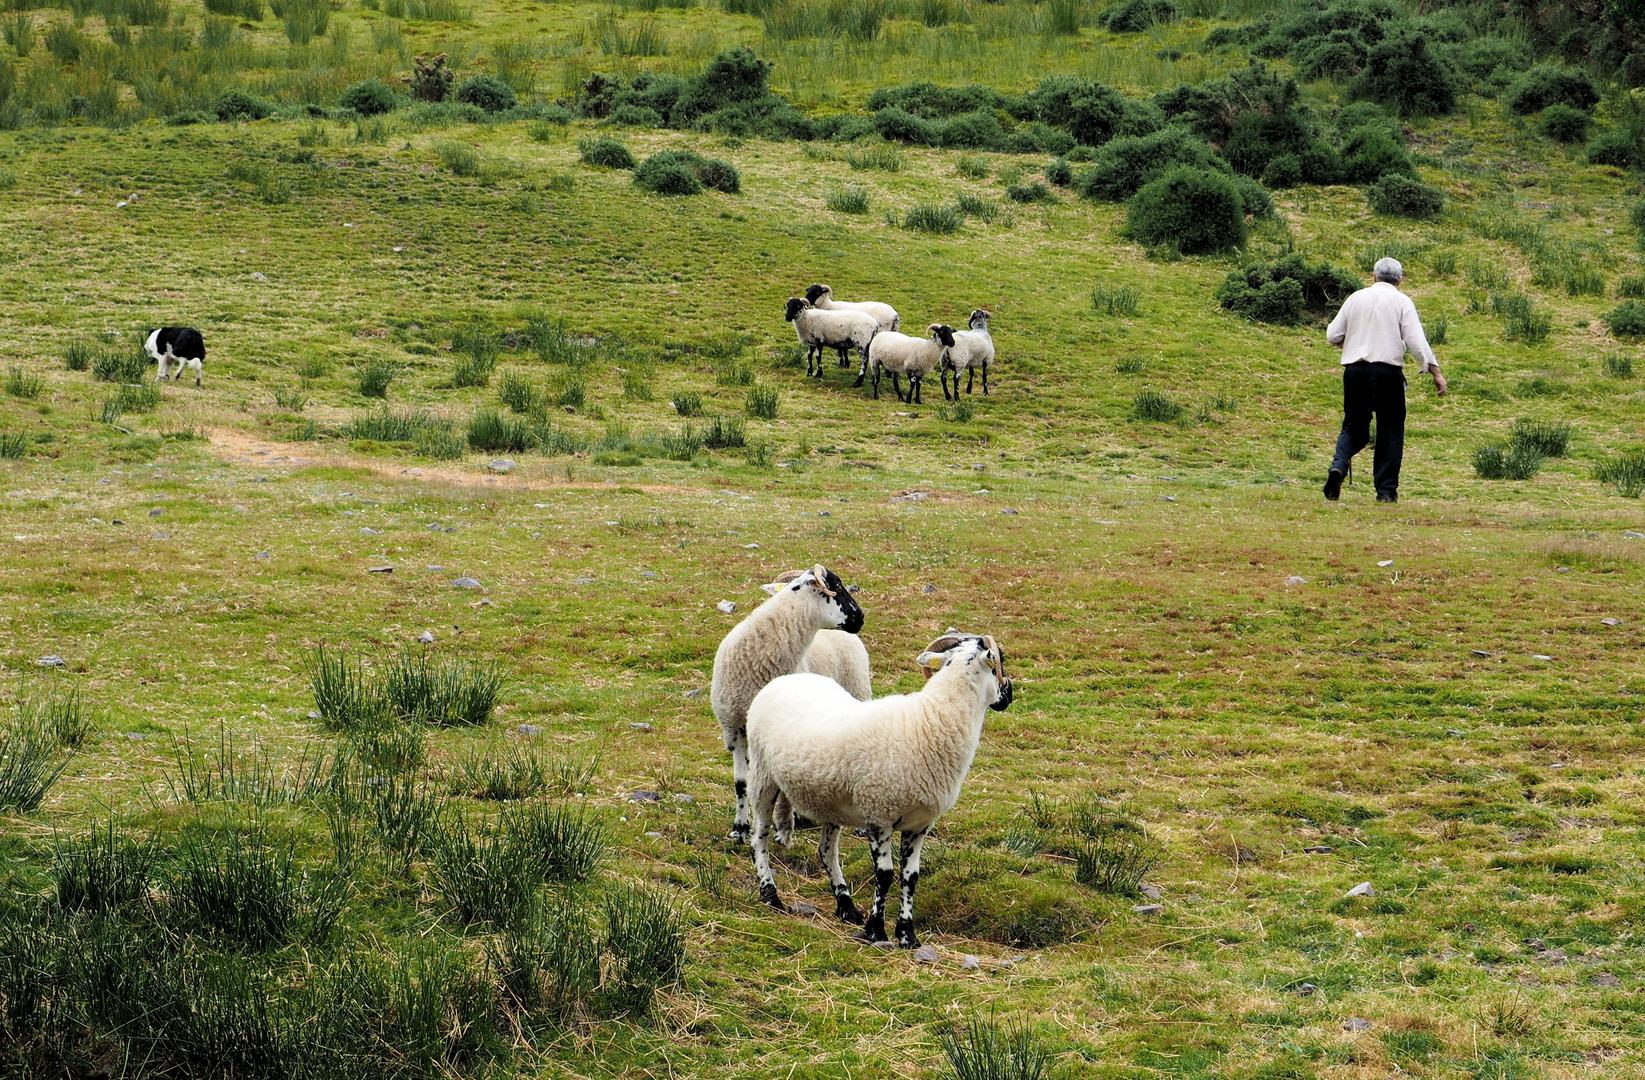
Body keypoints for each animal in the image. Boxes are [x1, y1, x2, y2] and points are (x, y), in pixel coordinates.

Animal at [750, 631, 1006, 946]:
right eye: (998, 663)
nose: (1008, 696)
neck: (930, 720)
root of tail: (785, 679)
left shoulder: (919, 824)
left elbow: (910, 877)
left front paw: (907, 935)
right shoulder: (879, 814)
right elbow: (884, 875)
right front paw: (876, 930)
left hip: (829, 800)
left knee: (826, 851)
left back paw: (846, 906)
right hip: (762, 775)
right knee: (759, 838)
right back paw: (770, 895)